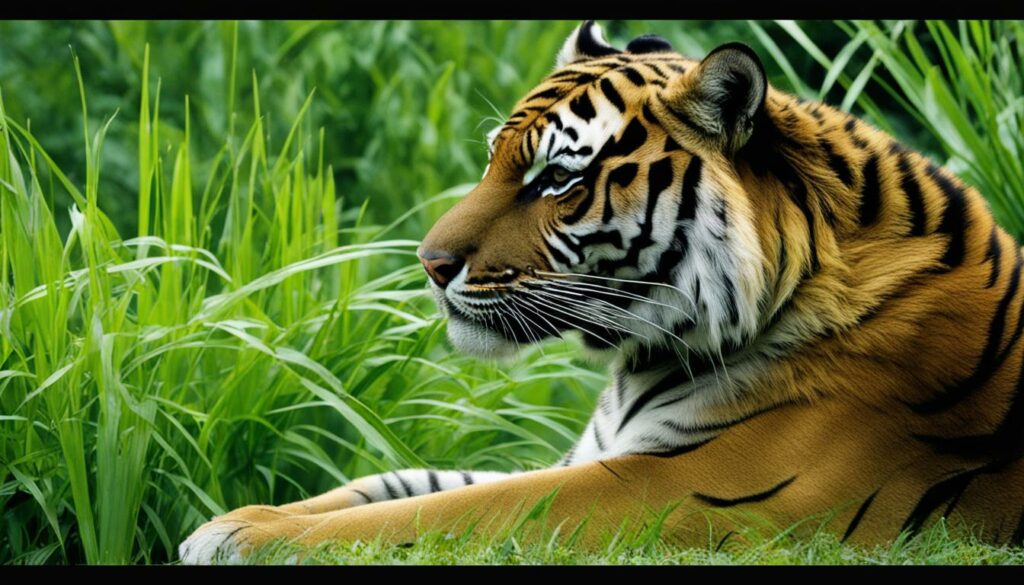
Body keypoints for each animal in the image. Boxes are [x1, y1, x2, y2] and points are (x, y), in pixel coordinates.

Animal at [179, 21, 1024, 563]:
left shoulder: (683, 484)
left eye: (555, 179)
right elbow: (390, 483)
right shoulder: (602, 451)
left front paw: (250, 537)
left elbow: (445, 508)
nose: (429, 263)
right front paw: (222, 523)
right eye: (495, 161)